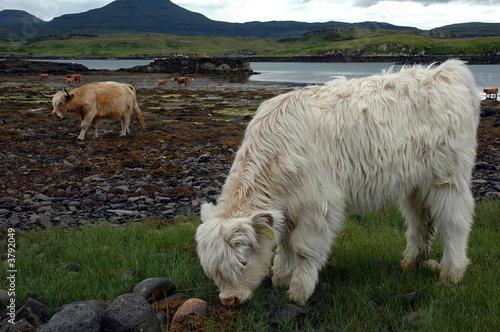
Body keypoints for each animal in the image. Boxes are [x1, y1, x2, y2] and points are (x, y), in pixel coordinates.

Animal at [195, 59, 480, 306]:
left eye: (243, 262)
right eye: (211, 270)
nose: (229, 300)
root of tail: (447, 70)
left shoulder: (317, 206)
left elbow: (302, 247)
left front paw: (298, 292)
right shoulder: (288, 209)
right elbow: (285, 245)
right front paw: (280, 279)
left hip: (448, 178)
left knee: (455, 221)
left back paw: (451, 273)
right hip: (416, 185)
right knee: (420, 220)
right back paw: (410, 263)